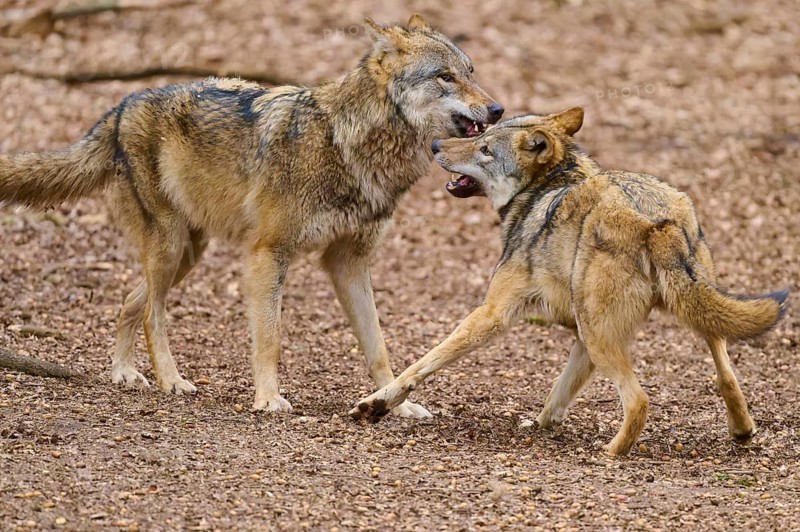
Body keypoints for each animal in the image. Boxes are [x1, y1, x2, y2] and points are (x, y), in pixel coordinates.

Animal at [0, 15, 504, 415]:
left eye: (471, 73)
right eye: (444, 77)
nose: (498, 108)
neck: (348, 143)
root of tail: (121, 106)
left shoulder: (348, 263)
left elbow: (378, 345)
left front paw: (391, 405)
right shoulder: (269, 253)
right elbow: (271, 337)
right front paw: (268, 399)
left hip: (188, 253)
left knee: (130, 301)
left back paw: (123, 372)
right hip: (170, 248)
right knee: (151, 315)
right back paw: (170, 381)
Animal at [350, 107, 788, 455]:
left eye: (486, 149)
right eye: (480, 137)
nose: (437, 145)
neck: (545, 188)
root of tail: (656, 220)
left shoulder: (491, 314)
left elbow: (423, 363)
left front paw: (375, 405)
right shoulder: (578, 338)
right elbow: (558, 394)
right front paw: (542, 425)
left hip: (603, 338)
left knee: (639, 400)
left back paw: (610, 454)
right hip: (680, 322)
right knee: (727, 377)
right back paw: (743, 431)